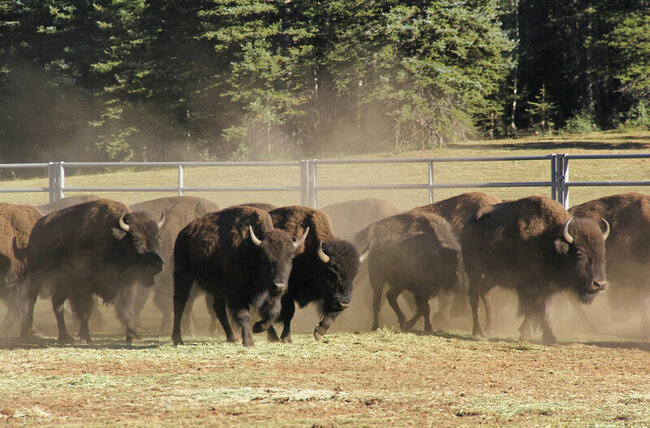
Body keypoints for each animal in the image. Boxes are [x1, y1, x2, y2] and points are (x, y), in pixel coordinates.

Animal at [24, 198, 164, 343]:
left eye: (158, 238)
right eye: (136, 239)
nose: (158, 264)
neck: (115, 242)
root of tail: (37, 227)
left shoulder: (125, 285)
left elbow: (125, 310)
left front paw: (133, 336)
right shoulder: (84, 285)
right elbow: (86, 310)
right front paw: (85, 336)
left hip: (63, 283)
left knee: (57, 303)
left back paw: (65, 336)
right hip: (38, 275)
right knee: (32, 299)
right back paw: (28, 331)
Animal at [172, 206, 307, 347]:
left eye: (290, 257)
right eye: (265, 257)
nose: (279, 286)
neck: (251, 249)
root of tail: (183, 233)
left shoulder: (269, 293)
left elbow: (273, 312)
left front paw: (258, 328)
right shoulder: (237, 293)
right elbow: (244, 315)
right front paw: (248, 341)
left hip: (216, 287)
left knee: (218, 308)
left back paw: (232, 337)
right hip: (183, 276)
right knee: (179, 303)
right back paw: (178, 339)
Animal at [264, 206, 370, 342]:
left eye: (354, 275)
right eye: (332, 273)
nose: (344, 303)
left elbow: (331, 314)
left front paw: (319, 332)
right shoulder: (287, 290)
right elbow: (289, 312)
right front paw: (286, 338)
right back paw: (273, 336)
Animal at [462, 196, 609, 344]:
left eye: (602, 251)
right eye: (579, 252)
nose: (599, 284)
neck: (549, 240)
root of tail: (469, 223)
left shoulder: (545, 289)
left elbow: (535, 311)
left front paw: (525, 333)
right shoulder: (531, 288)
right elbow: (539, 310)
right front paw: (549, 337)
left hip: (493, 276)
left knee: (484, 290)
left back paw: (490, 327)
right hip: (473, 270)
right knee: (474, 297)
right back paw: (477, 331)